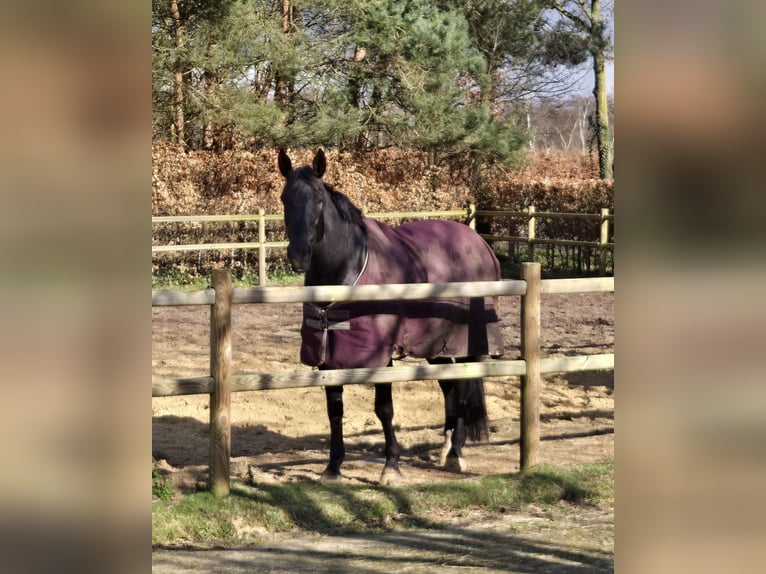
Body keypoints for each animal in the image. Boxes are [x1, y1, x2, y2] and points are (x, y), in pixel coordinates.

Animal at [277, 148, 504, 484]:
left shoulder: (381, 356)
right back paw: (447, 447)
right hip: (435, 343)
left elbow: (384, 409)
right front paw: (333, 467)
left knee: (462, 387)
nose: (298, 256)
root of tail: (480, 245)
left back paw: (457, 455)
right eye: (284, 198)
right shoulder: (328, 354)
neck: (350, 266)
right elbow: (334, 409)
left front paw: (391, 467)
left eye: (318, 198)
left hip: (467, 342)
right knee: (449, 386)